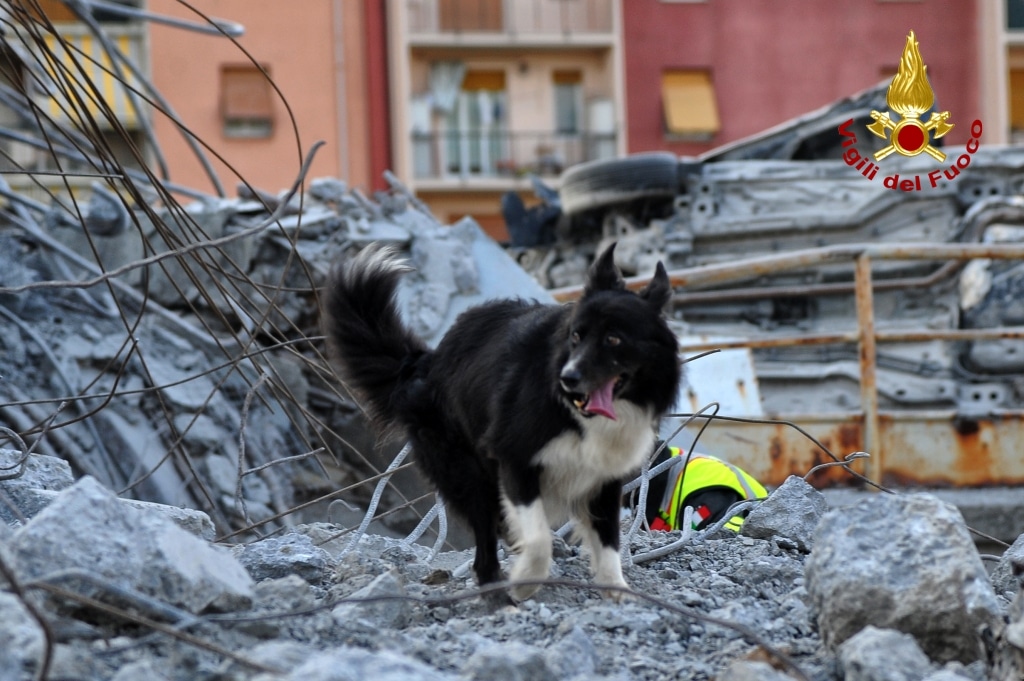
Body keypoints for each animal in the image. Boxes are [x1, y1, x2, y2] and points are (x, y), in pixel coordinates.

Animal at [323, 241, 684, 598]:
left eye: (613, 339)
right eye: (576, 336)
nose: (568, 379)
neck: (575, 415)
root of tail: (429, 361)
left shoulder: (603, 477)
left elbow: (608, 541)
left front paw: (616, 590)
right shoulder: (515, 459)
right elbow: (538, 539)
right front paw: (525, 582)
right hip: (468, 474)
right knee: (485, 546)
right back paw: (497, 594)